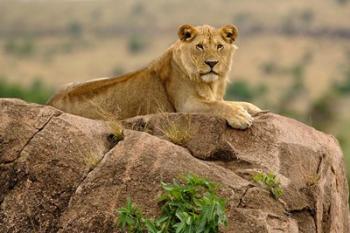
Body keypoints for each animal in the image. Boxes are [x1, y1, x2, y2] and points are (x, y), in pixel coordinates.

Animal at [47, 24, 260, 129]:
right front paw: (240, 117)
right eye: (199, 46)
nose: (211, 63)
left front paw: (252, 110)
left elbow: (238, 103)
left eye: (219, 46)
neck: (211, 84)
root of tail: (51, 101)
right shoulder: (186, 105)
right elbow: (218, 106)